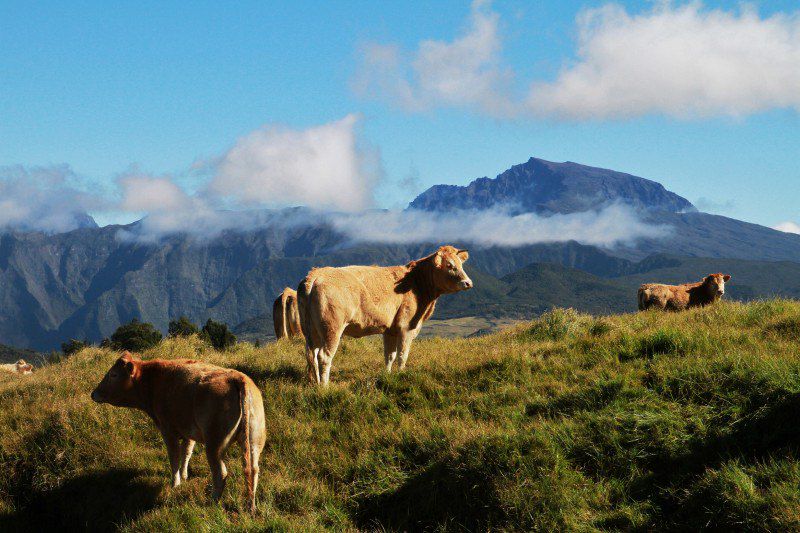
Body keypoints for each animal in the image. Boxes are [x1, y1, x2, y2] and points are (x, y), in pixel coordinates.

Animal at [90, 350, 266, 512]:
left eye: (113, 374)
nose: (94, 393)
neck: (152, 381)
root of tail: (237, 378)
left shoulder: (168, 430)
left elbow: (174, 457)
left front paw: (175, 483)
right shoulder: (189, 431)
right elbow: (186, 453)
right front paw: (184, 476)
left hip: (215, 445)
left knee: (220, 473)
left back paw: (212, 502)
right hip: (254, 441)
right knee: (253, 469)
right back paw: (251, 506)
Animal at [300, 243, 476, 384]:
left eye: (461, 264)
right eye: (450, 265)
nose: (468, 283)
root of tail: (317, 274)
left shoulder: (390, 330)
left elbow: (390, 355)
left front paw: (388, 376)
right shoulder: (407, 327)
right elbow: (402, 355)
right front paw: (401, 375)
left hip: (311, 331)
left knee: (312, 355)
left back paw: (316, 383)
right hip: (332, 328)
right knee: (324, 356)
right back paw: (325, 386)